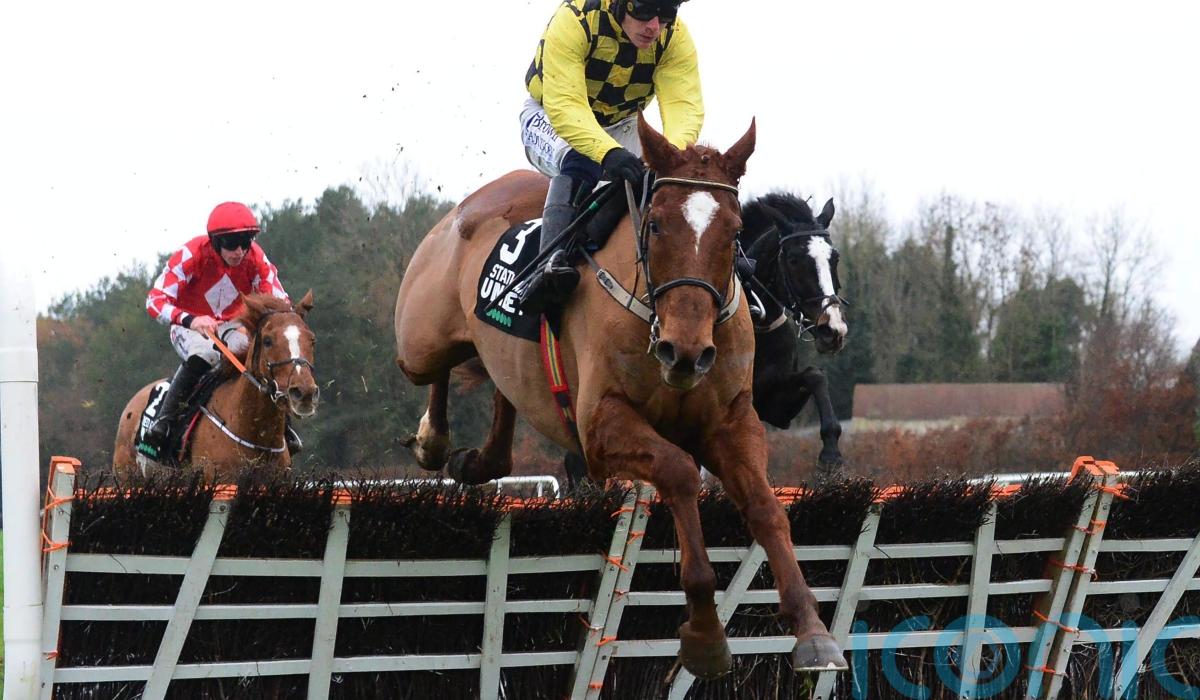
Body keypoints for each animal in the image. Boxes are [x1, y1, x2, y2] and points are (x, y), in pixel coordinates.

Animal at [393, 115, 847, 677]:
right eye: (654, 225)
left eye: (735, 231)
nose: (832, 328)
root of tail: (469, 205)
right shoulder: (602, 428)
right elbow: (678, 471)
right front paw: (704, 633)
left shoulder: (739, 417)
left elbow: (767, 504)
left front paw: (812, 630)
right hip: (420, 339)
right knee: (434, 368)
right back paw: (433, 439)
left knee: (502, 403)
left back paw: (476, 459)